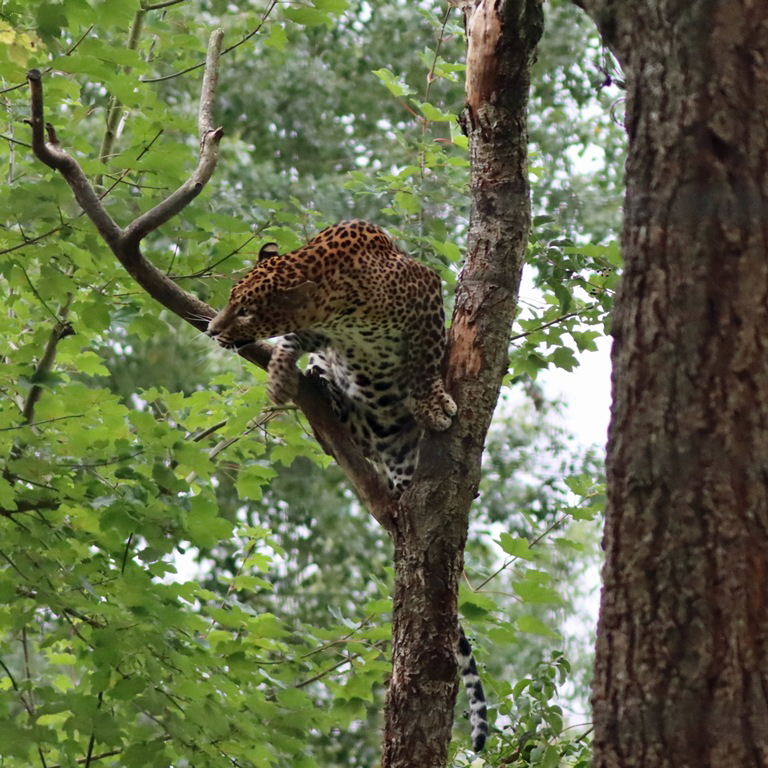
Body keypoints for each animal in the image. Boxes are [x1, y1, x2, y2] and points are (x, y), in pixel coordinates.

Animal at [206, 219, 487, 751]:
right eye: (231, 299)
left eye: (247, 309)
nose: (212, 329)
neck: (337, 300)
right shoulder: (318, 334)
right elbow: (292, 341)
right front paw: (281, 379)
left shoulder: (425, 291)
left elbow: (424, 359)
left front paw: (434, 402)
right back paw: (325, 390)